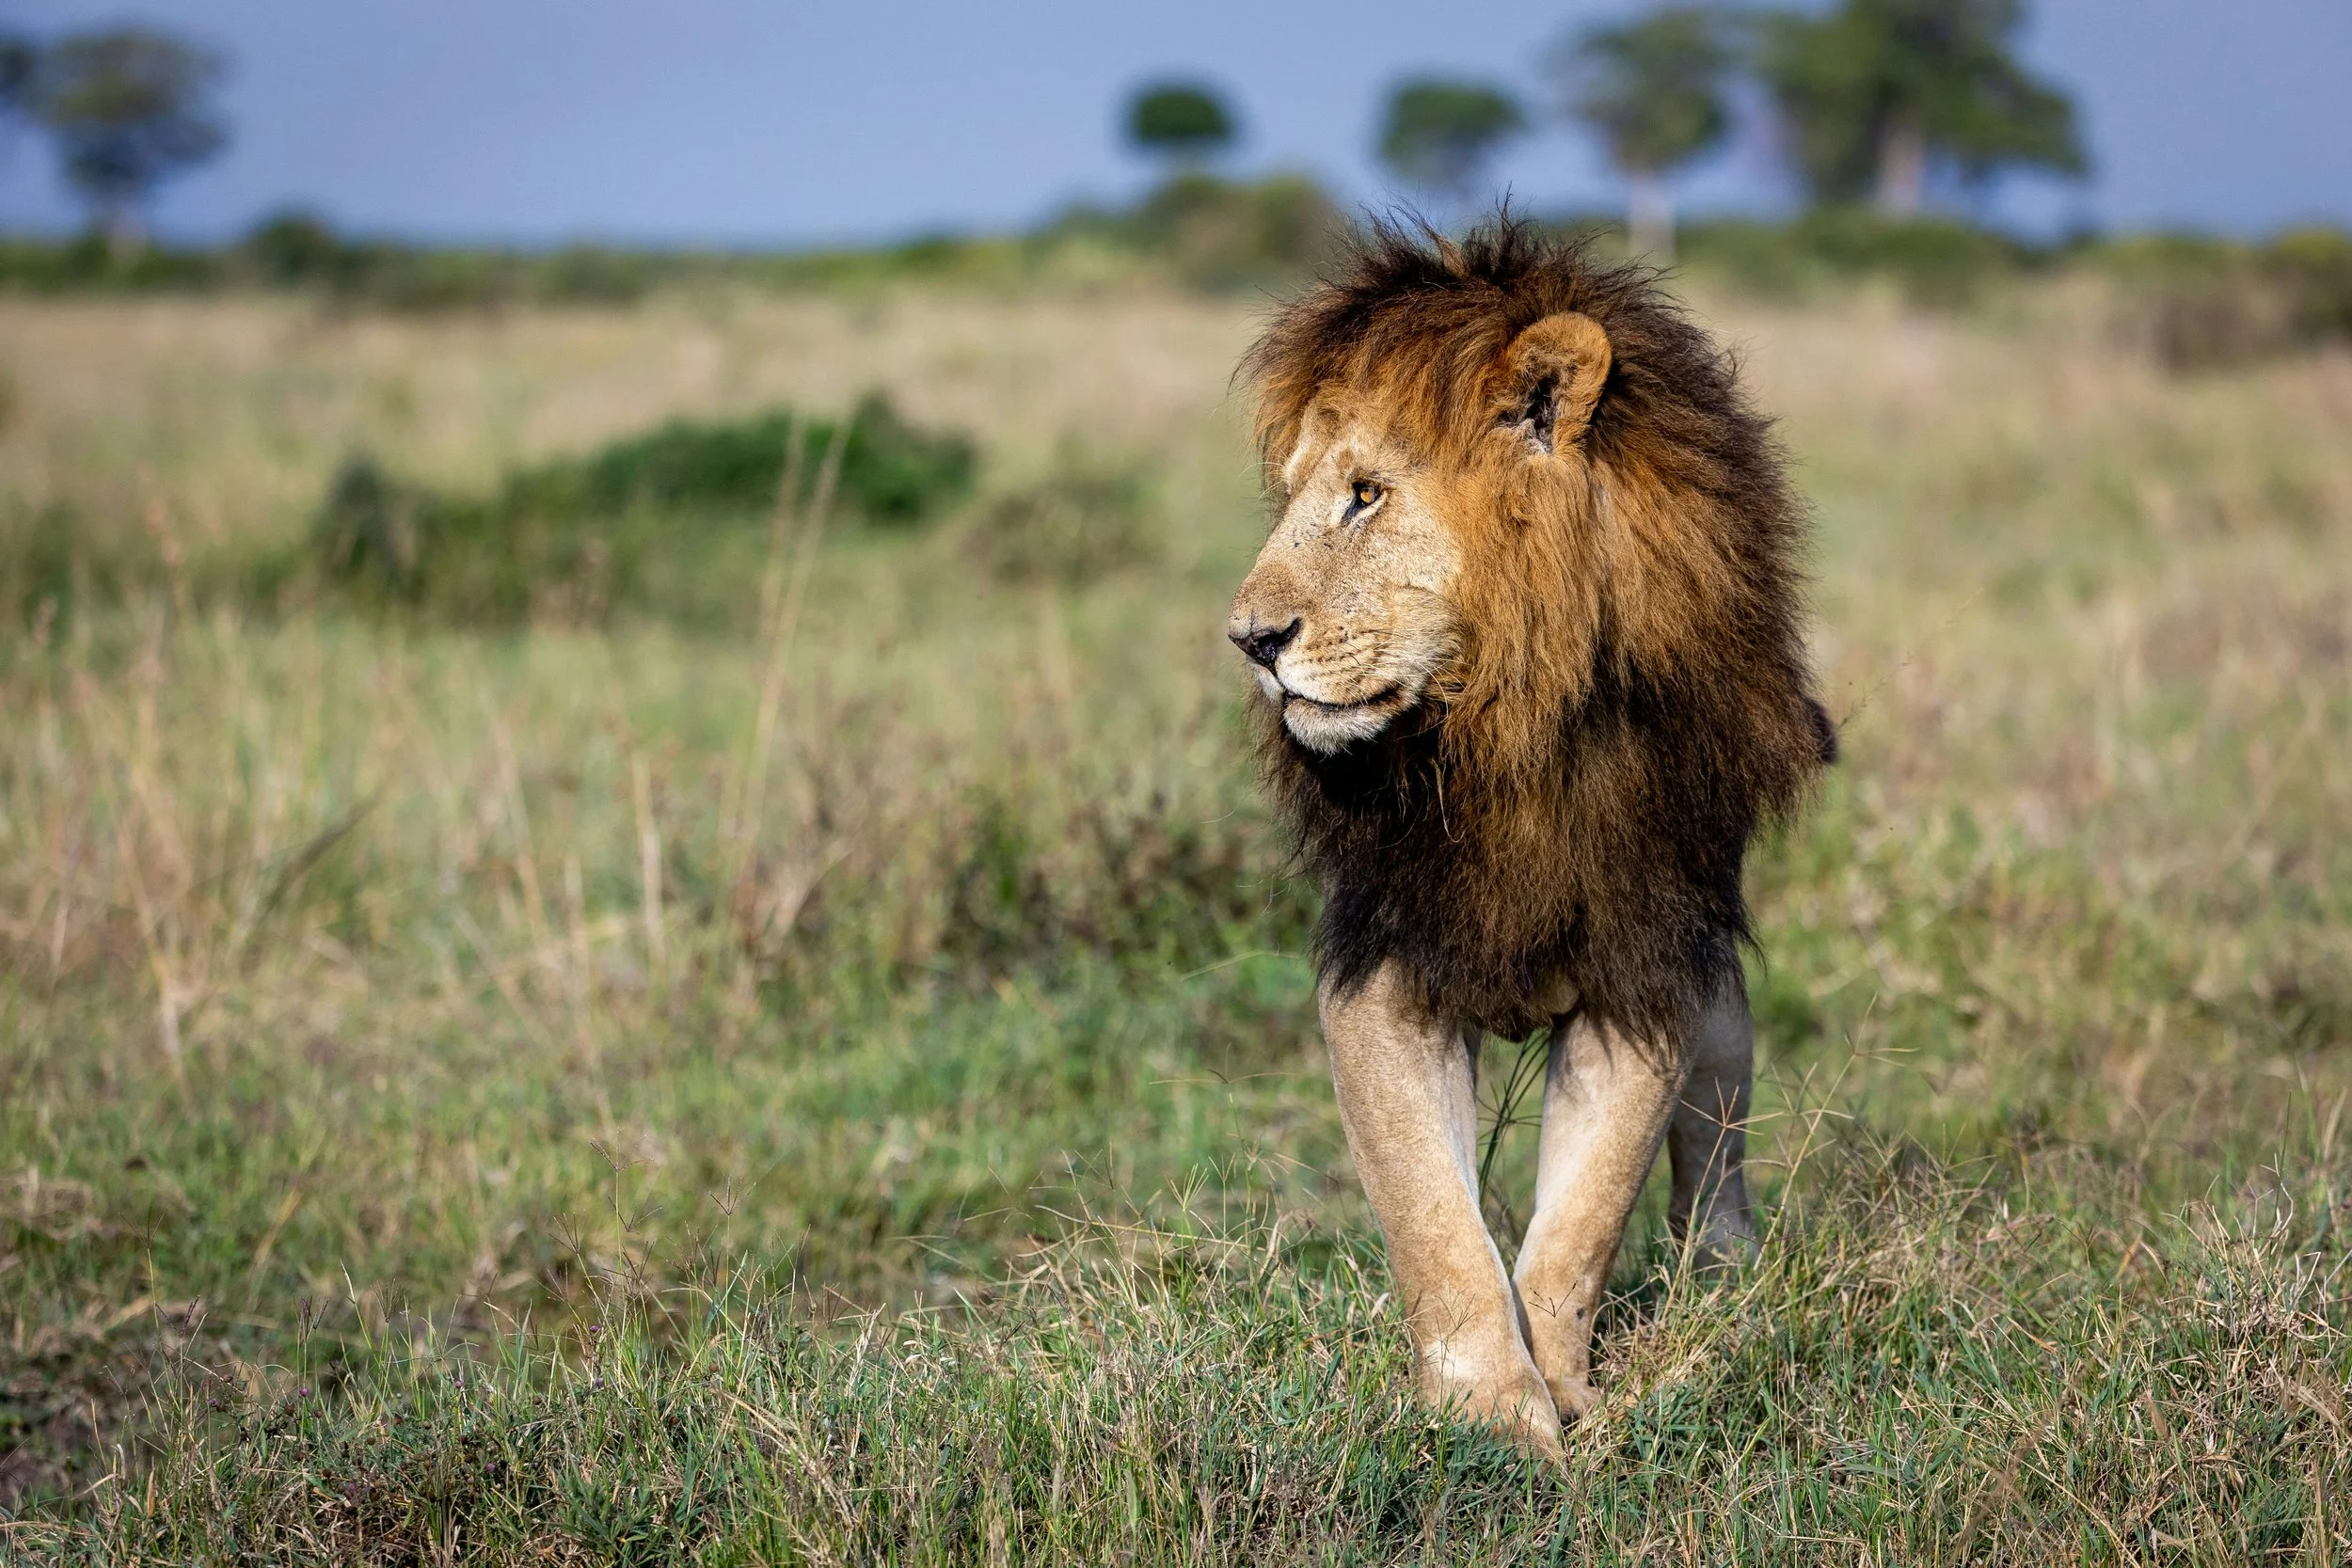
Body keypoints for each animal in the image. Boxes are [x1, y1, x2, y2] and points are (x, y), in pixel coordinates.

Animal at [1227, 218, 1835, 1457]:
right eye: (1294, 494)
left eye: (1365, 493)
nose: (1249, 639)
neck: (1497, 734)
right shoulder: (1382, 967)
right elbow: (1434, 1223)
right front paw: (1489, 1417)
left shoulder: (1644, 969)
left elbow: (1576, 1232)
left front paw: (1564, 1404)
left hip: (1715, 990)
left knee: (1717, 1135)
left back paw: (1723, 1273)